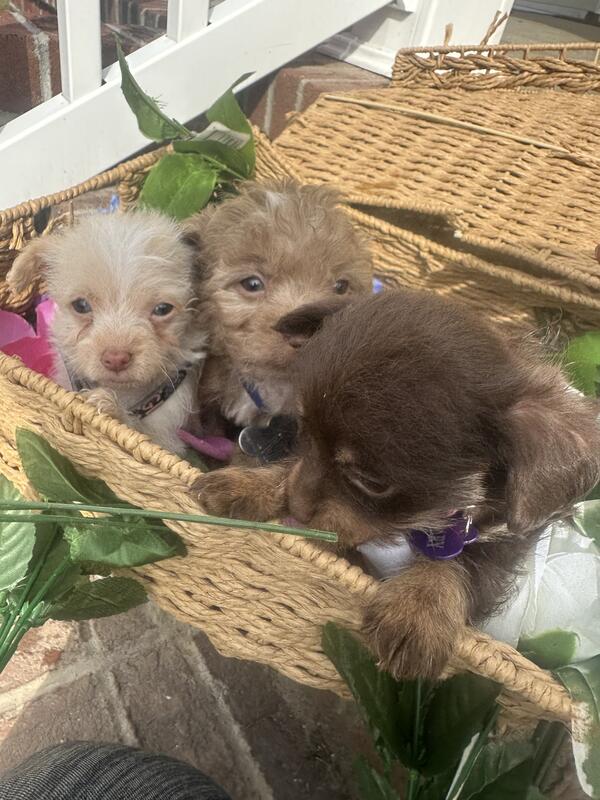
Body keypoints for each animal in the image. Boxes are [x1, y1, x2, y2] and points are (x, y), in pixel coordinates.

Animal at [7, 212, 208, 454]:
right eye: (81, 305)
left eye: (162, 309)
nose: (116, 358)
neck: (124, 393)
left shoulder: (169, 439)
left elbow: (140, 434)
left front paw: (110, 408)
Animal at [194, 290, 600, 679]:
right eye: (302, 432)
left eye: (372, 483)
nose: (298, 508)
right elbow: (294, 468)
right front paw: (250, 484)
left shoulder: (509, 535)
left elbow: (463, 560)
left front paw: (419, 606)